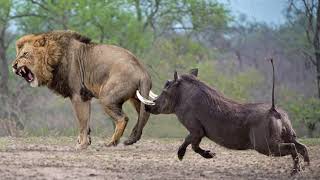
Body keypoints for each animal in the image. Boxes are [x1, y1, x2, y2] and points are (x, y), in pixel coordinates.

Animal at [12, 30, 158, 149]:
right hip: (136, 97)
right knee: (144, 115)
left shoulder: (78, 96)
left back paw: (112, 142)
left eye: (25, 54)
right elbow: (86, 123)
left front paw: (81, 145)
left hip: (107, 98)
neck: (53, 58)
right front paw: (85, 142)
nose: (13, 65)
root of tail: (142, 71)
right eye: (18, 54)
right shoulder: (85, 97)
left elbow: (82, 122)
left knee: (123, 118)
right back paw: (132, 139)